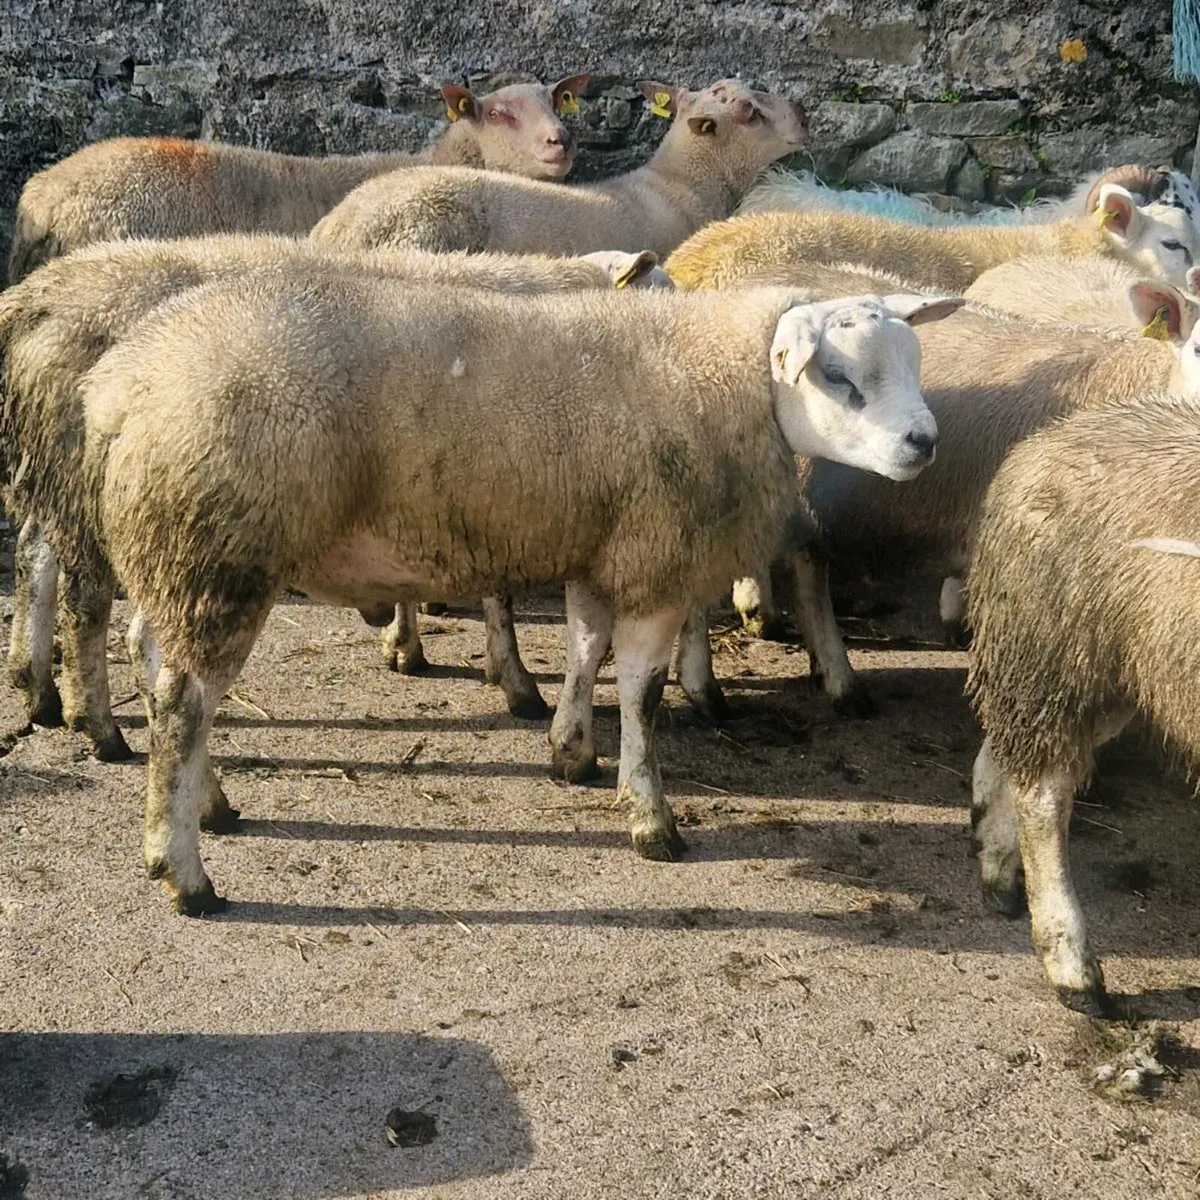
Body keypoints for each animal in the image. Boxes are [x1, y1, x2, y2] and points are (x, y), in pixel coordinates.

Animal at [1, 233, 667, 765]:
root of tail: (34, 298)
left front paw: (405, 642)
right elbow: (498, 594)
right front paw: (514, 681)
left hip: (71, 481)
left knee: (35, 556)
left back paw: (41, 690)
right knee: (86, 601)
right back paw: (100, 728)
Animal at [68, 273, 958, 912]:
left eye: (915, 364)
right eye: (838, 377)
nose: (925, 443)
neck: (724, 378)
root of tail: (121, 383)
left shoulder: (603, 547)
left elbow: (586, 648)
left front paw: (571, 751)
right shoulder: (654, 554)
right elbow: (641, 692)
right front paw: (651, 817)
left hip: (173, 550)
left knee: (153, 663)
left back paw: (202, 810)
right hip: (219, 552)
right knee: (183, 705)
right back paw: (187, 873)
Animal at [966, 391, 1200, 1014]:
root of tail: (1044, 439)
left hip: (1102, 674)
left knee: (1003, 752)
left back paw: (997, 870)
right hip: (1055, 648)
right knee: (1044, 796)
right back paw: (1073, 969)